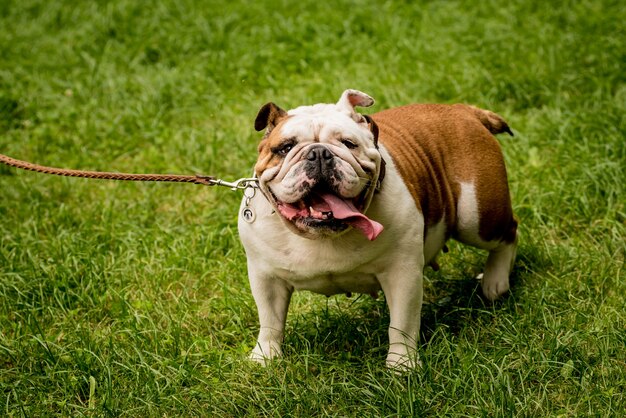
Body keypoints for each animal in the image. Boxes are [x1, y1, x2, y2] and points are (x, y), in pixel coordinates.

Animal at [236, 90, 516, 368]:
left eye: (349, 144)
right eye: (285, 148)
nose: (319, 153)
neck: (324, 235)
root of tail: (464, 110)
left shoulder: (402, 274)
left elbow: (402, 324)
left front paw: (401, 365)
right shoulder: (266, 277)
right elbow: (270, 320)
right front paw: (264, 357)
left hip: (476, 217)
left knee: (510, 232)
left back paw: (495, 282)